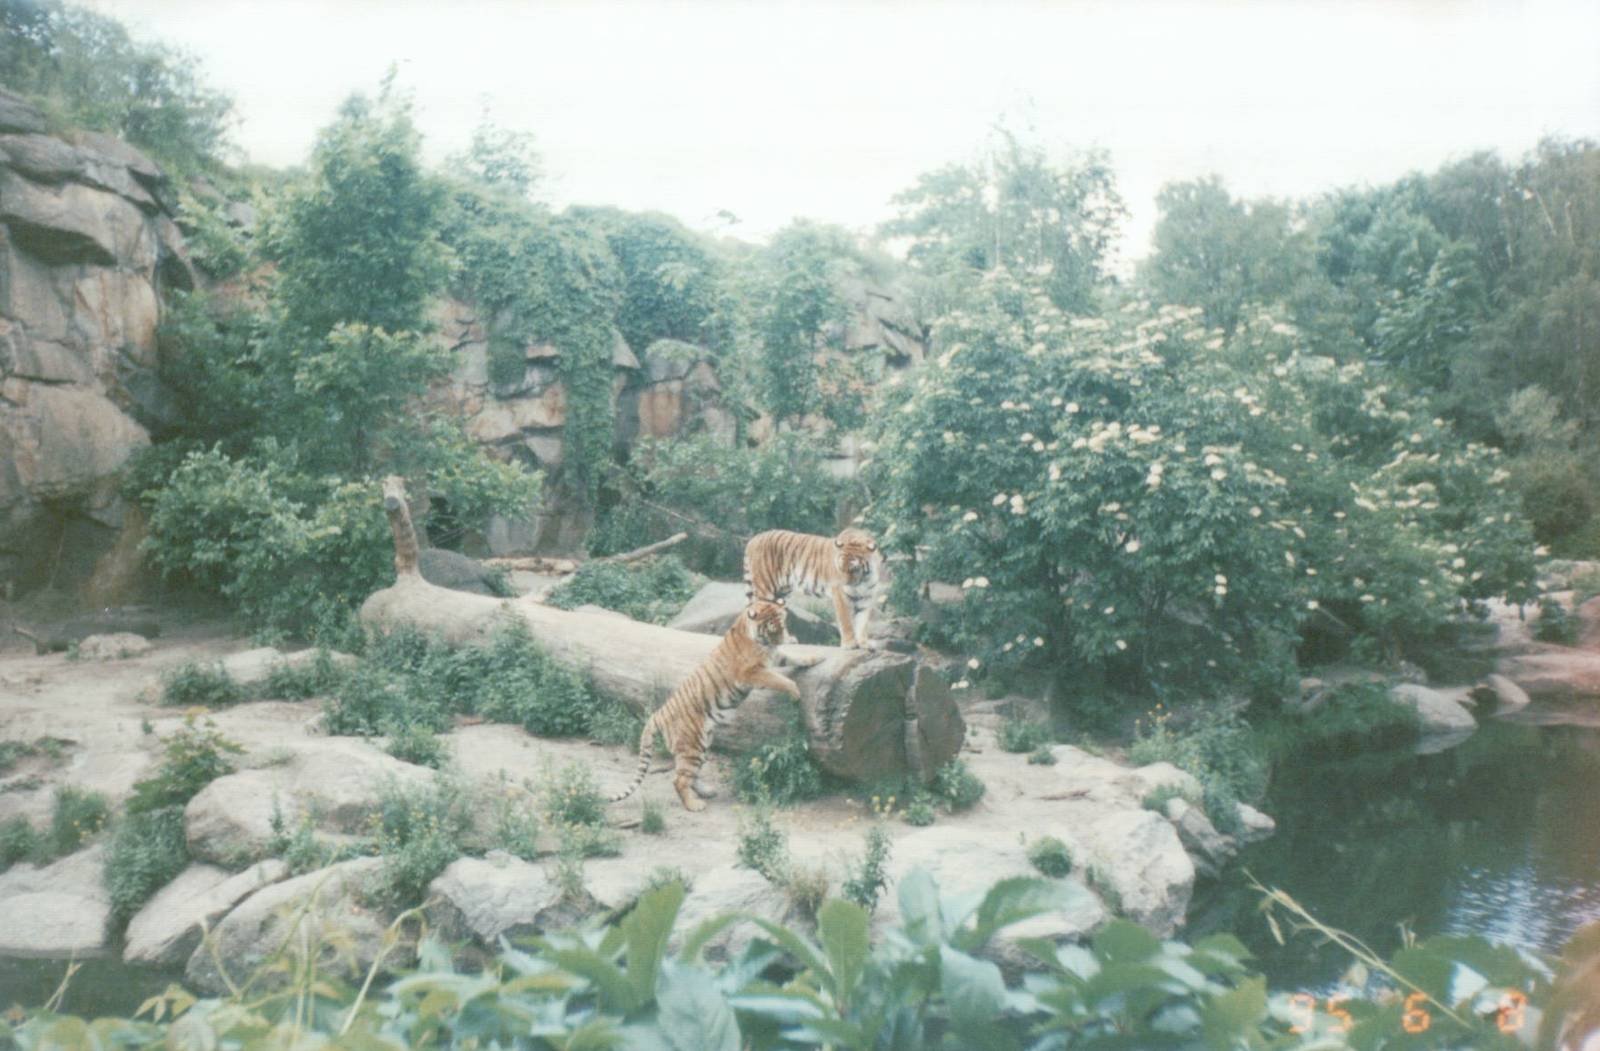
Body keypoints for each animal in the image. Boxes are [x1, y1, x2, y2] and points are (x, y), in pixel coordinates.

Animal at [610, 598, 800, 812]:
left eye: (783, 625)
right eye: (771, 629)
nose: (781, 639)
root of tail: (658, 714)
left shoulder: (772, 657)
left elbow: (794, 658)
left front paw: (814, 658)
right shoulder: (752, 673)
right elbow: (779, 679)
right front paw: (795, 691)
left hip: (703, 744)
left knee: (691, 775)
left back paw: (706, 792)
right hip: (692, 745)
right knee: (679, 780)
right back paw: (694, 804)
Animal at [744, 527, 882, 649]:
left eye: (854, 569)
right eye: (840, 567)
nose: (843, 583)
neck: (863, 579)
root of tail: (753, 539)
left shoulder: (866, 598)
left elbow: (862, 623)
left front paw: (864, 643)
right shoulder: (841, 596)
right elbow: (846, 621)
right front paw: (849, 644)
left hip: (781, 592)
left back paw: (786, 640)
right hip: (765, 588)